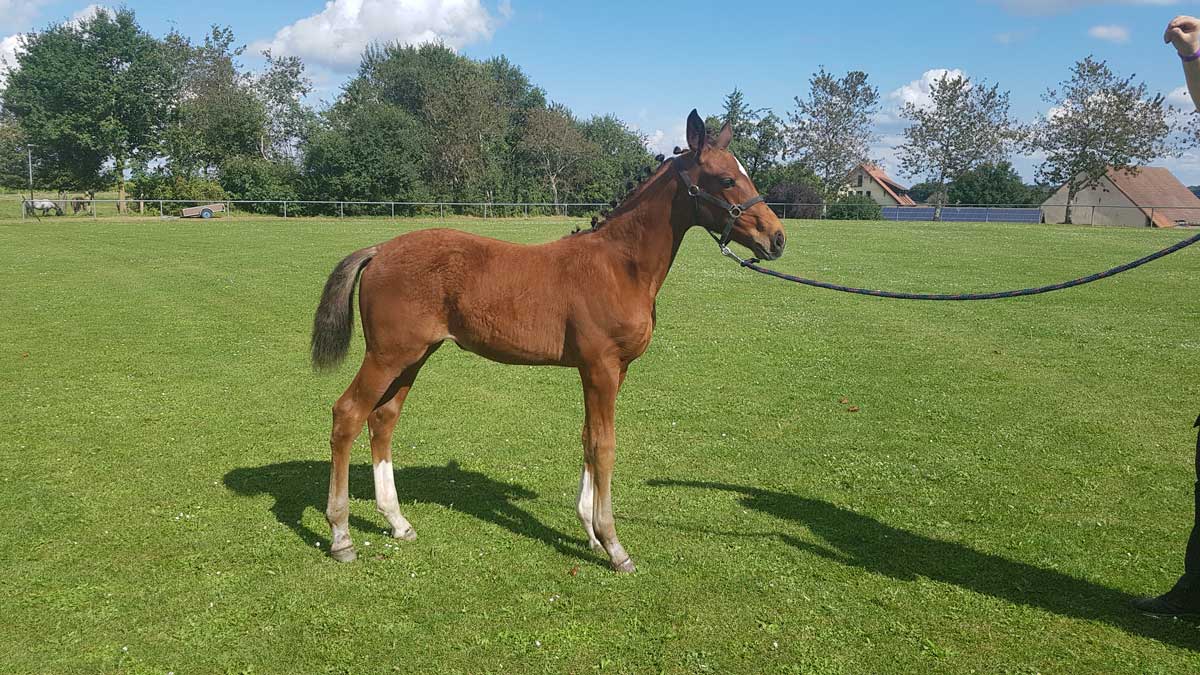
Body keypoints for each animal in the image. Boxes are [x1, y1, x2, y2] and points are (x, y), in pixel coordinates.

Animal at [309, 109, 787, 566]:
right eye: (726, 179)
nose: (777, 238)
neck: (620, 266)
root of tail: (379, 251)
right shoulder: (600, 368)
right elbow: (604, 445)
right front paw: (614, 545)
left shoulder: (613, 371)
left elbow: (587, 437)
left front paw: (591, 533)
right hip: (387, 355)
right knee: (347, 415)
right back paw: (341, 536)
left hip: (413, 356)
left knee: (383, 419)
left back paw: (397, 521)